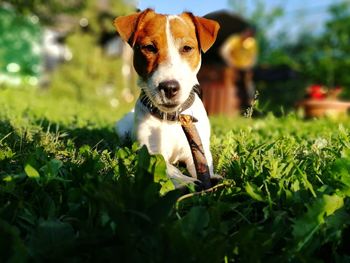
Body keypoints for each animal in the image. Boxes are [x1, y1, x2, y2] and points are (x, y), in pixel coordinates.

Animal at [115, 9, 219, 188]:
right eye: (149, 47)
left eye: (187, 48)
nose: (170, 87)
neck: (172, 118)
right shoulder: (150, 152)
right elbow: (168, 167)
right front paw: (185, 181)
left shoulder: (196, 149)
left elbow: (203, 164)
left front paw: (213, 178)